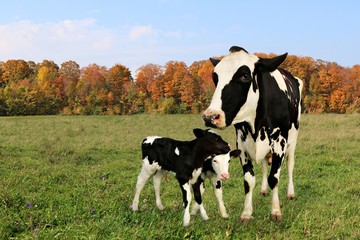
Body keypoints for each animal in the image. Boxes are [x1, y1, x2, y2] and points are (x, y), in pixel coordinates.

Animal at [204, 46, 302, 223]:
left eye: (245, 76)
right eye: (215, 77)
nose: (210, 116)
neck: (255, 124)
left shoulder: (280, 142)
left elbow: (274, 178)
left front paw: (275, 211)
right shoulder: (241, 143)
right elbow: (249, 180)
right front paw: (246, 213)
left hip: (293, 140)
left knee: (290, 165)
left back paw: (291, 193)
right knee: (264, 165)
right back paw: (263, 190)